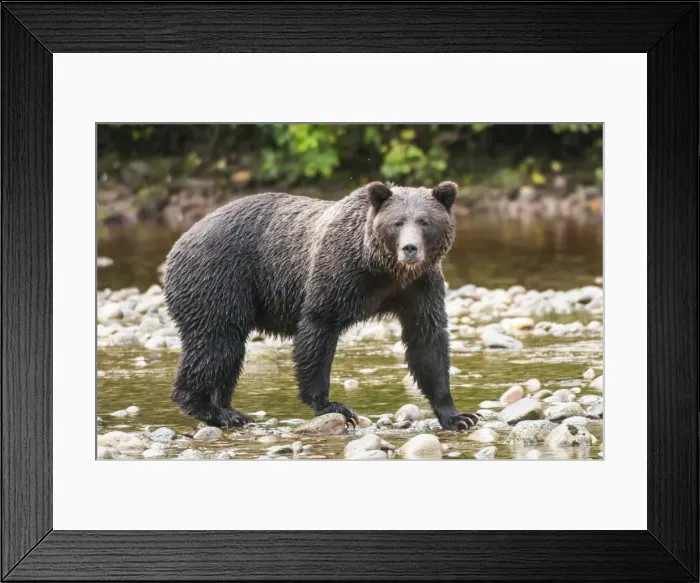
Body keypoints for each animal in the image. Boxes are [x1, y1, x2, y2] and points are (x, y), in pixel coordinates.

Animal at [163, 181, 480, 431]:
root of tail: (179, 242)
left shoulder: (419, 287)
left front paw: (458, 416)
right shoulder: (338, 274)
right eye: (398, 222)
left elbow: (427, 341)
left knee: (228, 351)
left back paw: (230, 409)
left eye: (425, 221)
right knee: (216, 343)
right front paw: (332, 405)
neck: (384, 270)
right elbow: (318, 328)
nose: (410, 249)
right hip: (218, 280)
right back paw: (211, 409)